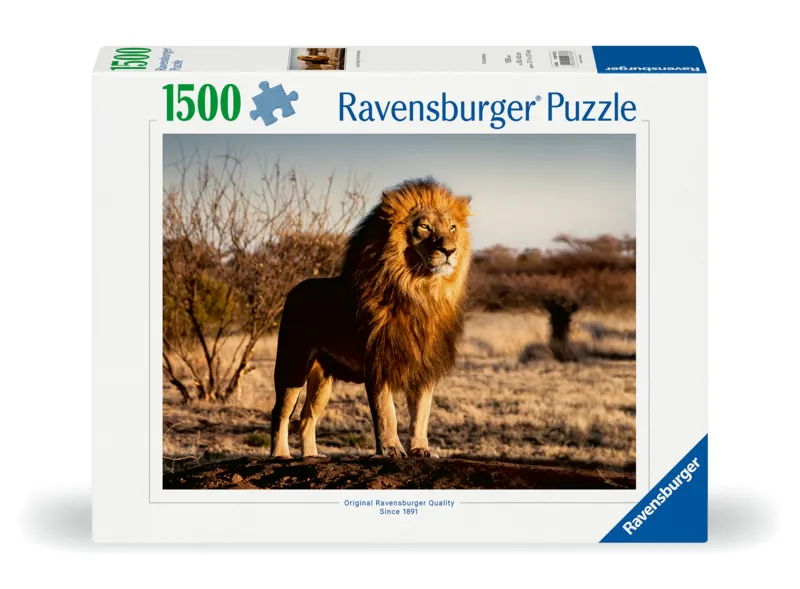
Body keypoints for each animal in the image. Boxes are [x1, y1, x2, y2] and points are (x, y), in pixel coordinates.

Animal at [270, 178, 472, 459]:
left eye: (452, 227)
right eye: (424, 226)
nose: (450, 250)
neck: (420, 291)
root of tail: (295, 289)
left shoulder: (424, 365)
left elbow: (421, 413)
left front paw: (421, 449)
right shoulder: (378, 362)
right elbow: (387, 412)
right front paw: (391, 449)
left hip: (322, 379)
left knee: (307, 417)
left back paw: (311, 456)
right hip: (292, 364)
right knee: (280, 412)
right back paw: (280, 454)